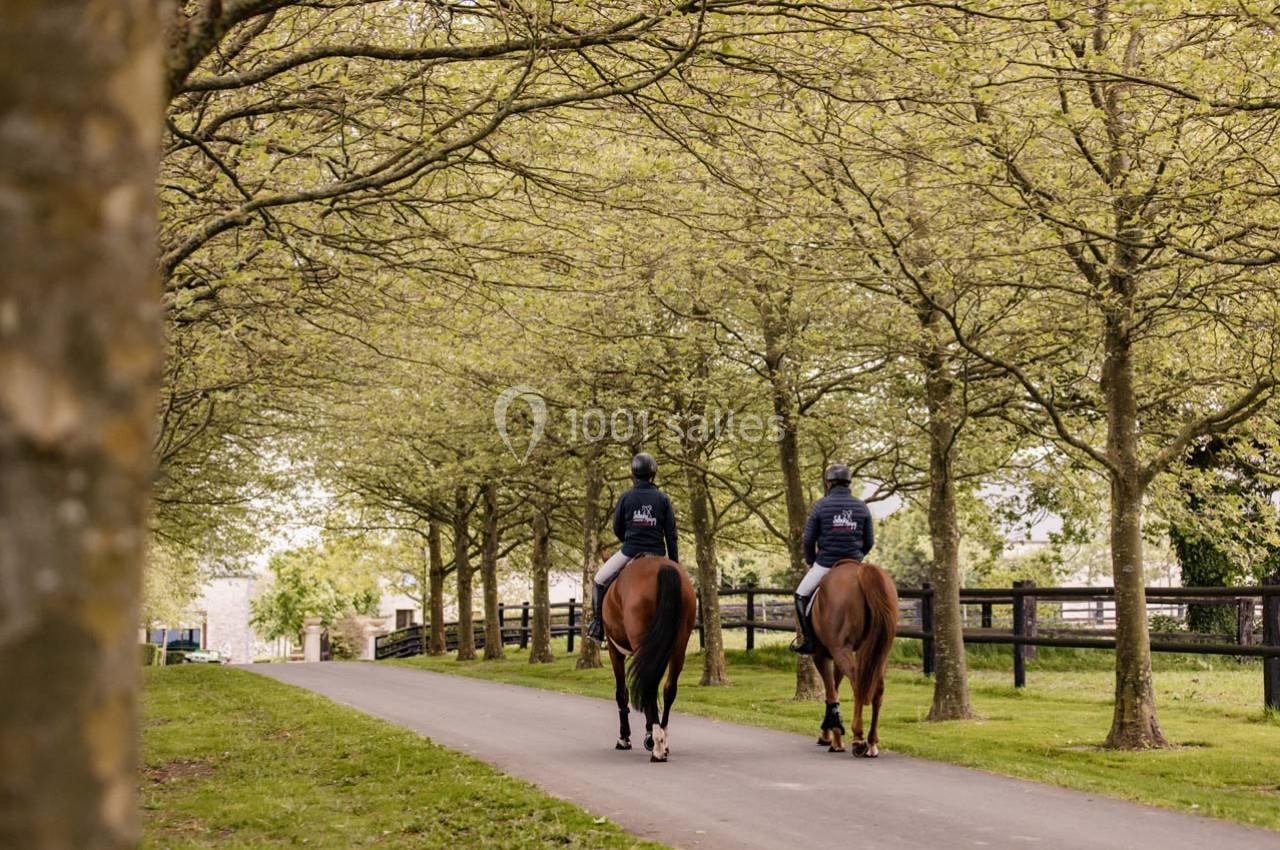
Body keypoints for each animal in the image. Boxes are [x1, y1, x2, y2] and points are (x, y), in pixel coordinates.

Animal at [600, 554, 697, 762]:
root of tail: (662, 567)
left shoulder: (614, 650)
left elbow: (621, 693)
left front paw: (625, 739)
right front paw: (648, 735)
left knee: (649, 686)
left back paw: (657, 746)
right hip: (679, 646)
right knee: (668, 689)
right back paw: (662, 741)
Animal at [808, 559, 898, 758]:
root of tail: (862, 570)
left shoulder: (822, 655)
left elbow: (831, 692)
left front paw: (834, 739)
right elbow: (834, 688)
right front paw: (831, 735)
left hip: (841, 649)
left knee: (858, 683)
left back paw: (858, 739)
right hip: (880, 653)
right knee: (877, 688)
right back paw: (872, 743)